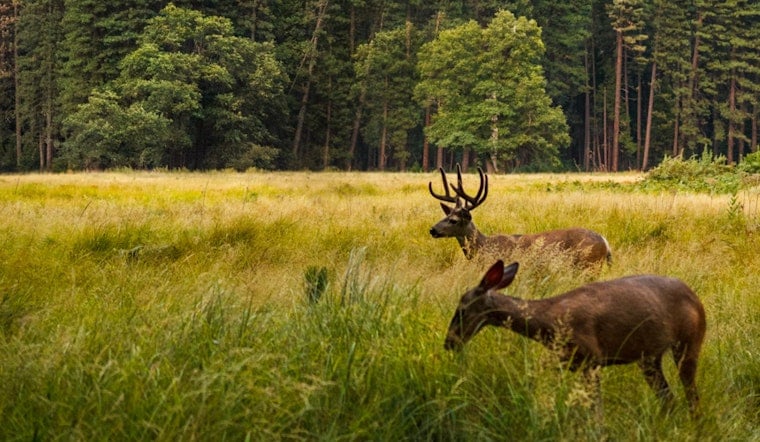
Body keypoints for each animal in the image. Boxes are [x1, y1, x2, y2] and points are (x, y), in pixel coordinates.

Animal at [428, 164, 611, 269]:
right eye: (445, 215)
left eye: (454, 220)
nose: (432, 230)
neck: (483, 247)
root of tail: (605, 242)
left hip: (589, 265)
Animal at [444, 260, 706, 416]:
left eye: (461, 310)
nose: (449, 343)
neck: (549, 322)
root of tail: (696, 299)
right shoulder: (564, 361)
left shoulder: (592, 358)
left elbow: (596, 410)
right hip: (649, 357)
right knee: (668, 398)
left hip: (689, 342)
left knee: (692, 396)